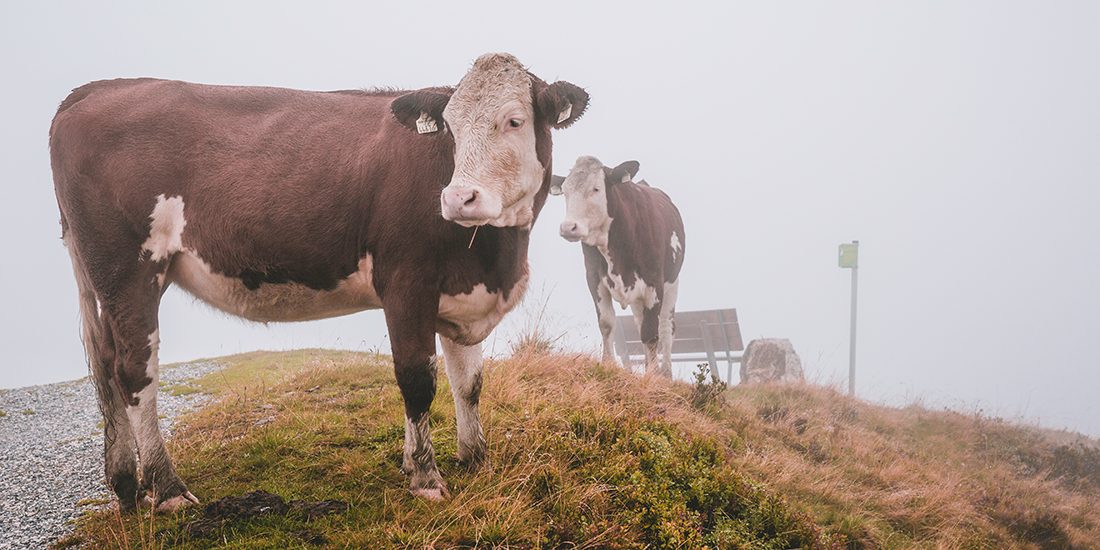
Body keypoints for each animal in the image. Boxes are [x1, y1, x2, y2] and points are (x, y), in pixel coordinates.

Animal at [50, 53, 589, 508]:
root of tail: (97, 89)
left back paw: (125, 485)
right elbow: (416, 379)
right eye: (451, 129)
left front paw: (473, 459)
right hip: (128, 268)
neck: (495, 260)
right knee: (134, 371)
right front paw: (425, 477)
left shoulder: (462, 294)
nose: (458, 199)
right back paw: (167, 490)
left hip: (108, 278)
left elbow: (469, 383)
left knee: (106, 364)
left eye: (514, 120)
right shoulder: (406, 282)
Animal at [554, 157, 682, 376]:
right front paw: (607, 364)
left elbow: (651, 333)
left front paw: (652, 376)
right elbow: (606, 323)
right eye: (565, 191)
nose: (568, 227)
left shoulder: (654, 282)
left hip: (672, 285)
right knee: (641, 322)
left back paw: (665, 372)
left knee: (666, 327)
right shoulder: (594, 279)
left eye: (596, 188)